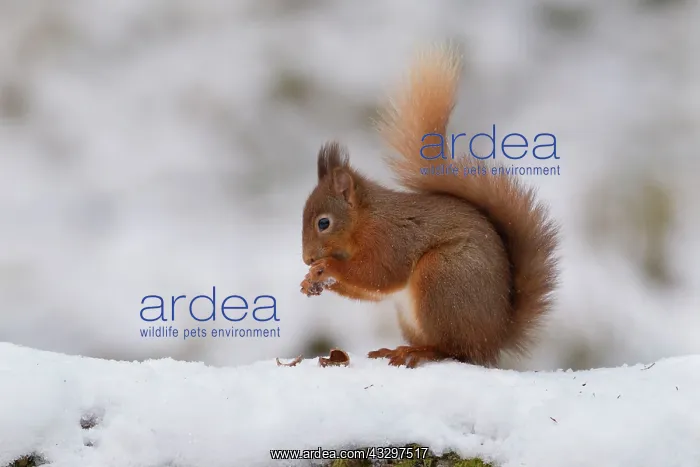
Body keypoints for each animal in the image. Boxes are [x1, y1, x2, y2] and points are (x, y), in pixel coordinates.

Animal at [300, 44, 559, 369]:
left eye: (324, 223)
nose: (307, 259)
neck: (364, 222)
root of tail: (493, 340)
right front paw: (312, 281)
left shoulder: (390, 240)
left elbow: (378, 275)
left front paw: (326, 268)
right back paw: (393, 350)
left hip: (441, 279)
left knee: (452, 349)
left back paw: (418, 352)